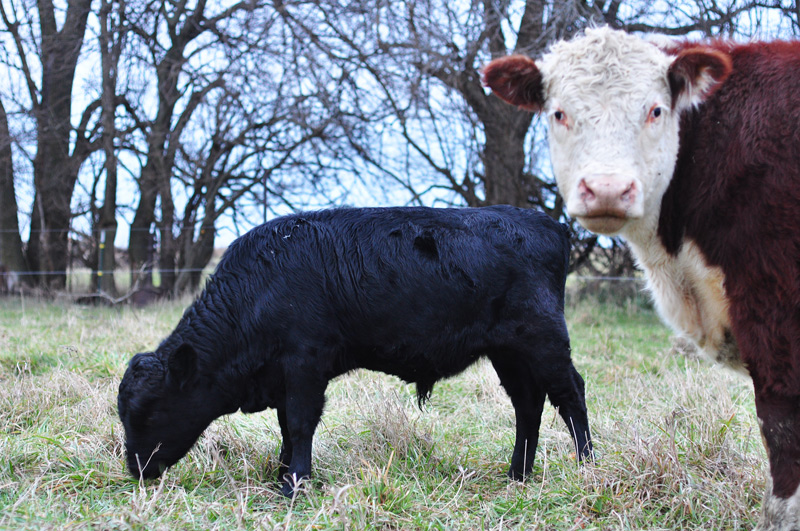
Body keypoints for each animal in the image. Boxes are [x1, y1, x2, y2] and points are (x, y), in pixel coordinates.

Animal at [118, 206, 593, 498]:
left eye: (148, 410)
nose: (136, 469)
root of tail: (545, 222)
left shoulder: (305, 363)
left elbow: (300, 425)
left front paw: (295, 485)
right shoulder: (283, 375)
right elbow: (286, 428)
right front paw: (282, 475)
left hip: (544, 341)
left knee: (570, 394)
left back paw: (586, 466)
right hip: (509, 353)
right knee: (528, 405)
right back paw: (518, 474)